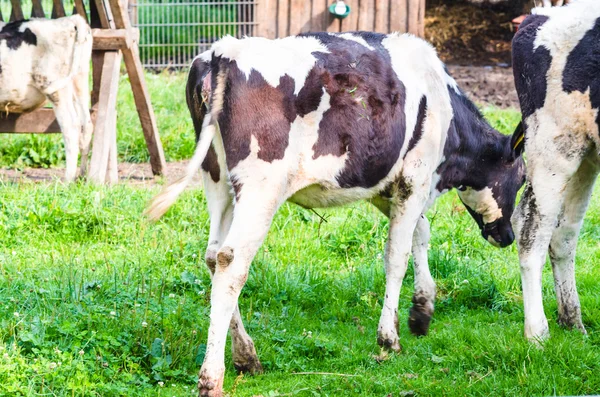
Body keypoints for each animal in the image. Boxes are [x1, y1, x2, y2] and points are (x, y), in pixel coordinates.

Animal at [146, 31, 524, 396]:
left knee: (213, 256)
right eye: (521, 178)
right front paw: (389, 338)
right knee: (232, 261)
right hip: (260, 186)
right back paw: (213, 377)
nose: (507, 236)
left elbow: (421, 232)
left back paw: (247, 356)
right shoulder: (414, 178)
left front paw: (422, 310)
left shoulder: (383, 184)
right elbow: (397, 254)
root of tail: (223, 51)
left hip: (217, 178)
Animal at [510, 0, 600, 340]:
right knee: (530, 227)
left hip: (586, 153)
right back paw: (537, 332)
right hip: (554, 146)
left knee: (563, 234)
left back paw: (573, 322)